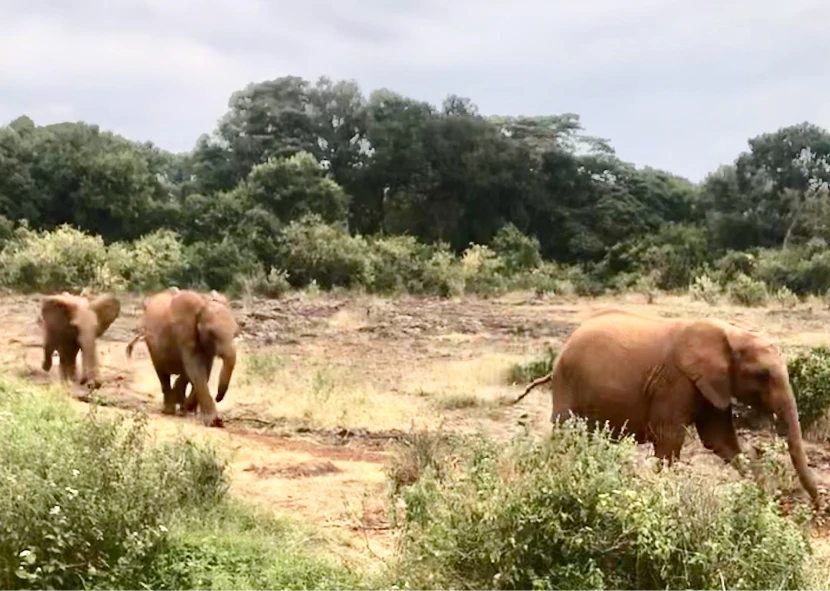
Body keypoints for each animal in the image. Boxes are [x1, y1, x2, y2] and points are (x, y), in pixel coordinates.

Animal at [126, 287, 238, 427]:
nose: (218, 398)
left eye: (235, 333)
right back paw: (169, 410)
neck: (202, 304)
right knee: (162, 374)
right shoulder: (184, 333)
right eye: (212, 333)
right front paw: (214, 422)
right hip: (152, 345)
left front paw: (187, 408)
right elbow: (196, 369)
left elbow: (204, 371)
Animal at [512, 308, 821, 507]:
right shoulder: (675, 382)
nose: (818, 505)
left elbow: (720, 441)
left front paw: (766, 497)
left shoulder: (710, 385)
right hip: (568, 384)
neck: (730, 334)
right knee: (566, 434)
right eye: (762, 375)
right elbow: (670, 438)